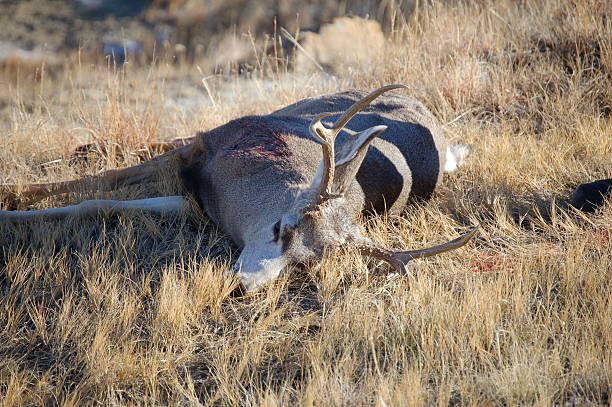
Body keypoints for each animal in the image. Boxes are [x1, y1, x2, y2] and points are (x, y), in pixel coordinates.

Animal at [0, 85, 476, 290]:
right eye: (280, 227)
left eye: (304, 265)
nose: (246, 285)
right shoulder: (202, 146)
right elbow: (104, 181)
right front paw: (12, 196)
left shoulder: (194, 203)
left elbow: (98, 203)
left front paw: (12, 208)